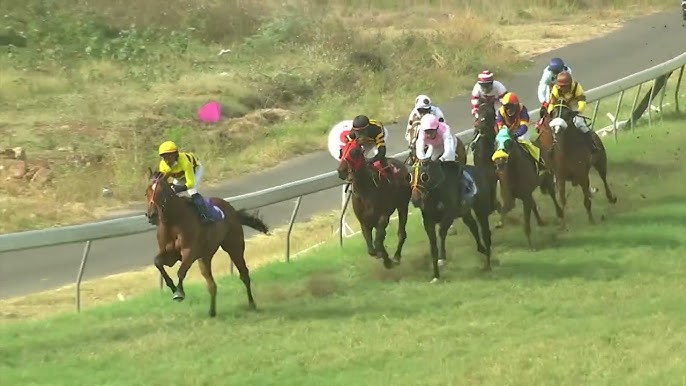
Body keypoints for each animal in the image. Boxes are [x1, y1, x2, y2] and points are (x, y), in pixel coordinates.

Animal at [146, 168, 272, 316]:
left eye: (162, 192)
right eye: (147, 192)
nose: (151, 215)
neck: (174, 222)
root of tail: (232, 210)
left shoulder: (190, 252)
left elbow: (181, 271)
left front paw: (179, 292)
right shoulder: (171, 254)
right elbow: (158, 262)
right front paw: (172, 287)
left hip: (234, 246)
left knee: (244, 274)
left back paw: (252, 304)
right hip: (205, 257)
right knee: (212, 284)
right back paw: (212, 311)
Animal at [336, 139, 412, 268]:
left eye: (355, 152)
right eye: (342, 150)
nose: (341, 171)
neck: (365, 191)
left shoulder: (383, 216)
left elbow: (378, 241)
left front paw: (387, 261)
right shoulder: (364, 222)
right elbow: (372, 249)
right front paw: (382, 255)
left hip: (402, 206)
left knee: (401, 233)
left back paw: (396, 257)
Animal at [408, 152, 494, 284]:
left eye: (424, 176)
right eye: (410, 176)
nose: (415, 199)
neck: (436, 192)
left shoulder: (449, 216)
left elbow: (442, 232)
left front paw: (442, 258)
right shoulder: (428, 221)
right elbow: (433, 246)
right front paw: (436, 275)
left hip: (481, 208)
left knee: (485, 232)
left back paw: (488, 264)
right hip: (465, 212)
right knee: (473, 226)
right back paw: (481, 249)